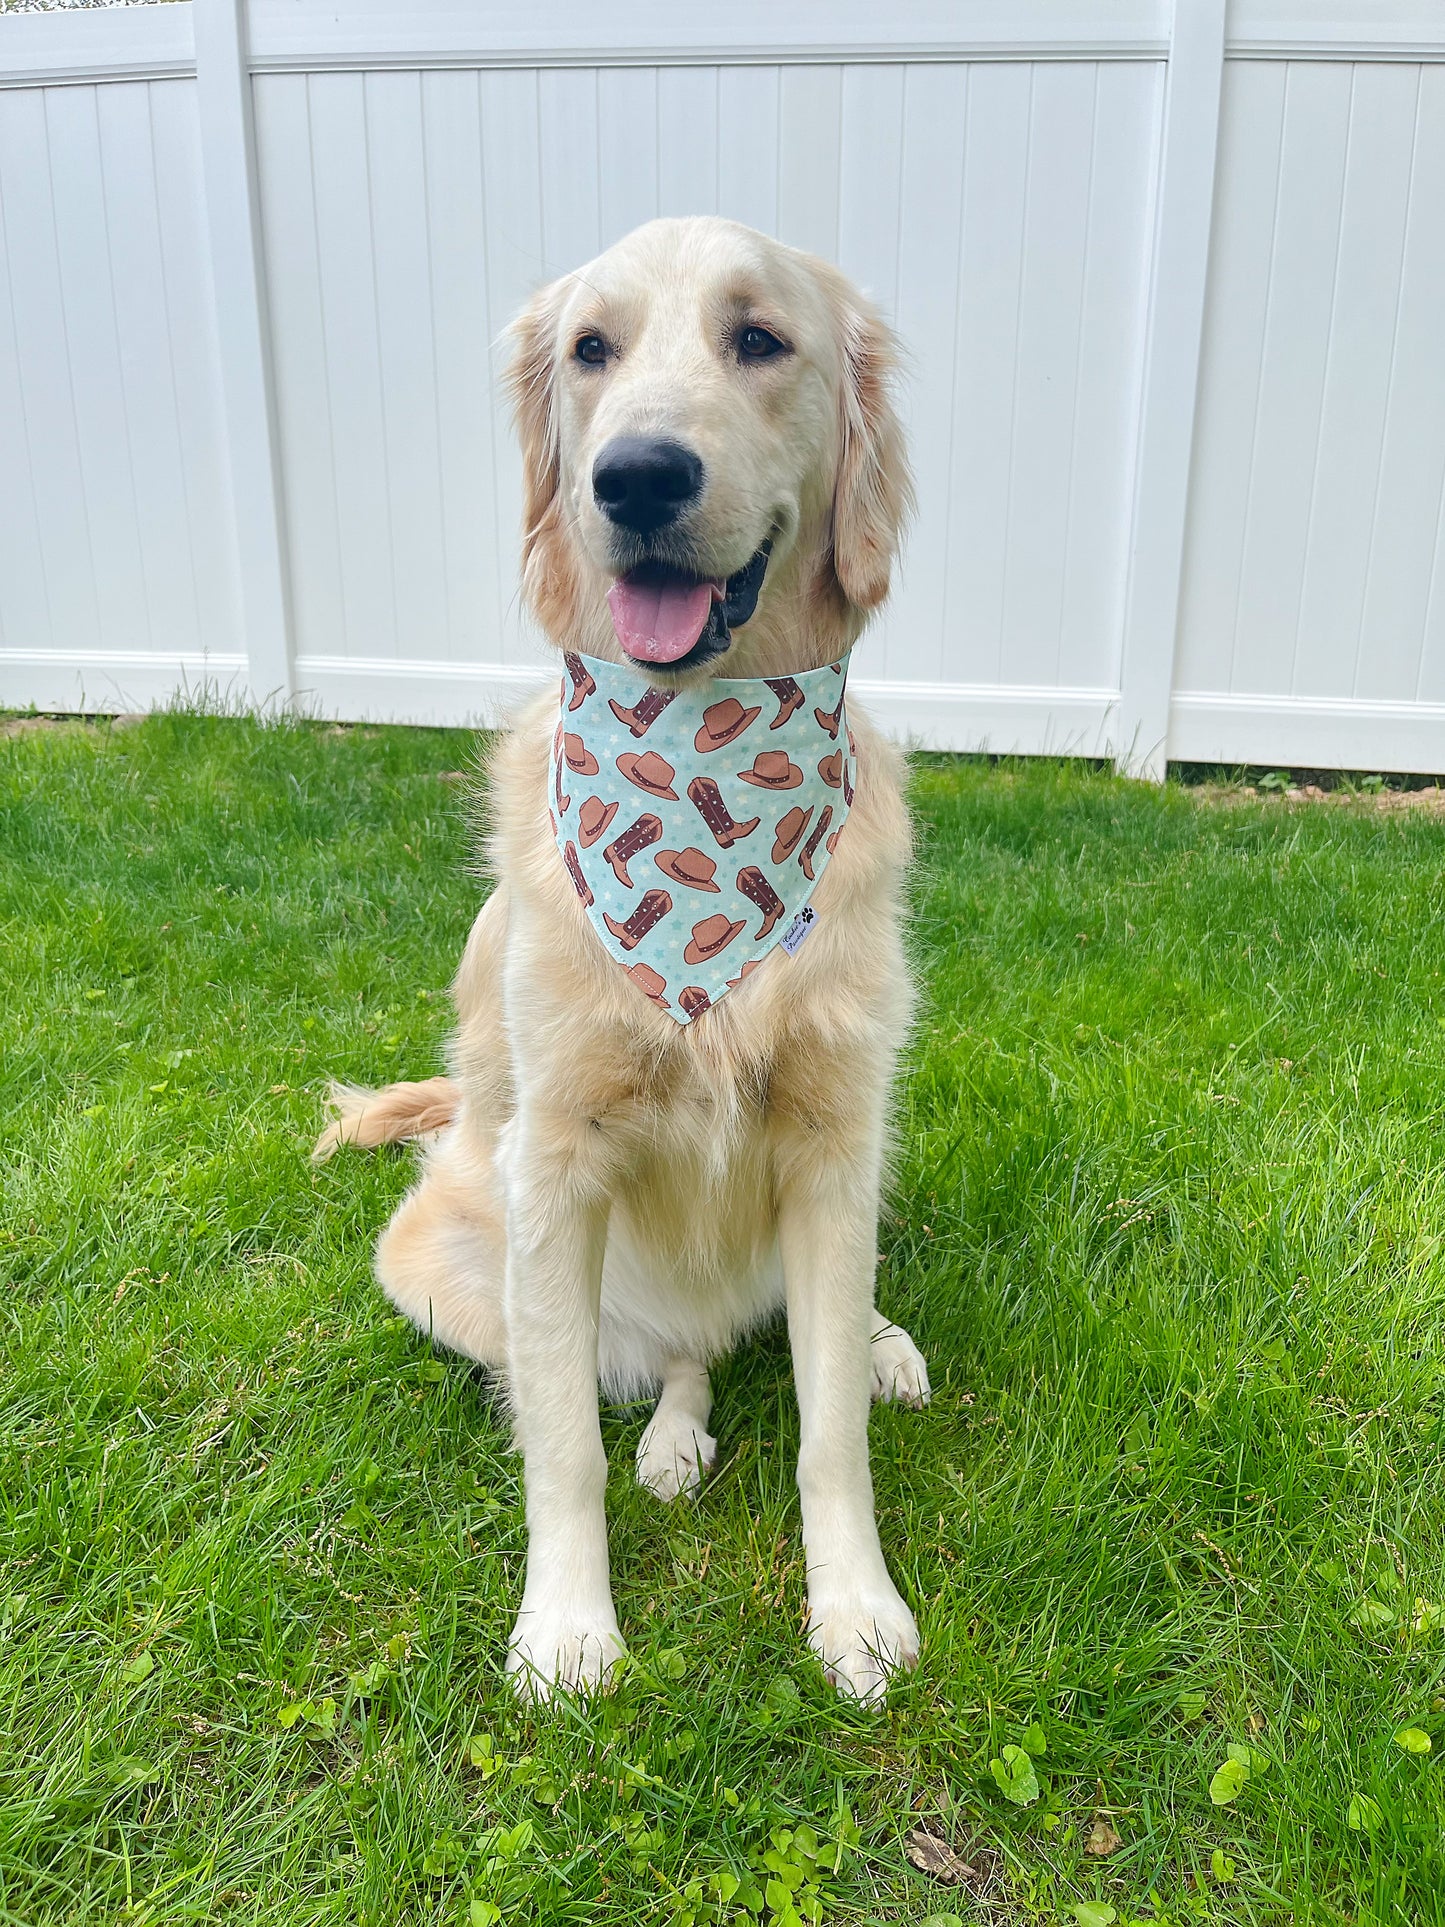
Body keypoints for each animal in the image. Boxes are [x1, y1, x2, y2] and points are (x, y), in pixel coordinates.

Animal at [315, 221, 928, 1703]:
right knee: (662, 1363)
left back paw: (879, 1344)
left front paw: (853, 1608)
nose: (638, 475)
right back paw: (671, 1435)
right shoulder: (556, 1161)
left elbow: (828, 1426)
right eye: (591, 349)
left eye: (759, 339)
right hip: (442, 1258)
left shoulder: (836, 1137)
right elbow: (561, 1448)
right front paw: (567, 1624)